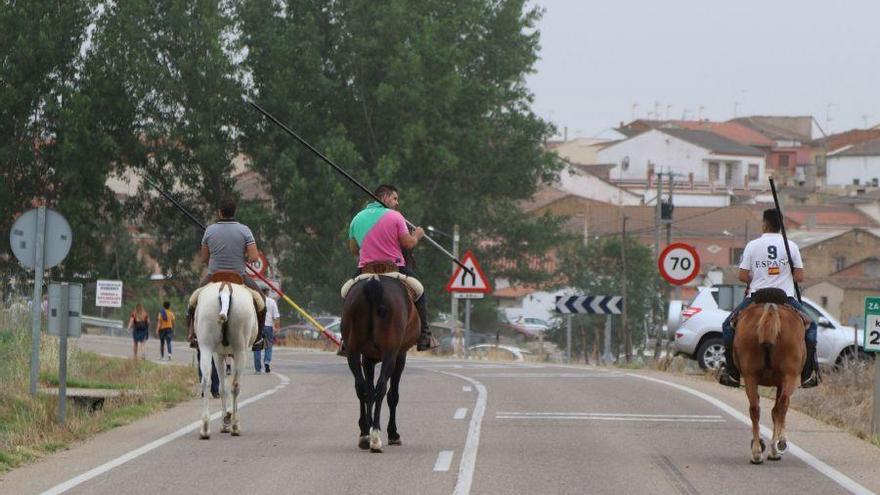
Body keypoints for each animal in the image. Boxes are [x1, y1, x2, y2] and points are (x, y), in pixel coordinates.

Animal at [194, 280, 260, 440]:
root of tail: (225, 289)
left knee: (206, 381)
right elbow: (226, 387)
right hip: (240, 349)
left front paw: (226, 418)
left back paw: (205, 428)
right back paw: (235, 426)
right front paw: (227, 419)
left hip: (206, 346)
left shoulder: (217, 353)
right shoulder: (224, 354)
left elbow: (222, 387)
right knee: (235, 385)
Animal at [340, 276, 420, 454]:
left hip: (352, 351)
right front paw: (393, 434)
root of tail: (374, 282)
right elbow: (392, 395)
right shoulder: (399, 356)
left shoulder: (367, 358)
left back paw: (365, 434)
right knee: (382, 386)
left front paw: (367, 430)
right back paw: (376, 436)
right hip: (390, 353)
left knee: (361, 386)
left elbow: (369, 391)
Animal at [732, 290, 808, 464]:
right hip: (789, 376)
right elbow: (776, 411)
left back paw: (757, 452)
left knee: (755, 409)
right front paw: (774, 448)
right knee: (782, 405)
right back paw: (778, 444)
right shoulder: (782, 382)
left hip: (750, 376)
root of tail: (771, 308)